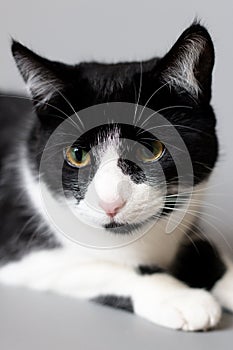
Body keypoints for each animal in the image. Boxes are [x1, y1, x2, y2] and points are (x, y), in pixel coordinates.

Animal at [0, 22, 233, 330]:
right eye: (77, 154)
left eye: (151, 149)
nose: (110, 203)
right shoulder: (26, 254)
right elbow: (96, 266)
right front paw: (179, 297)